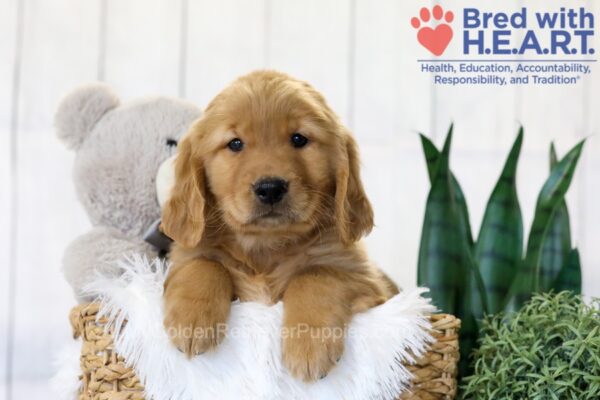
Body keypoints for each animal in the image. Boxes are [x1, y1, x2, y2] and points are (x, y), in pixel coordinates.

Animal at [163, 71, 398, 382]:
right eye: (235, 144)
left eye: (299, 139)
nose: (270, 188)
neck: (266, 246)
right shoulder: (187, 255)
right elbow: (204, 264)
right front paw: (192, 323)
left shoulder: (363, 278)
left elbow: (315, 275)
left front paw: (309, 346)